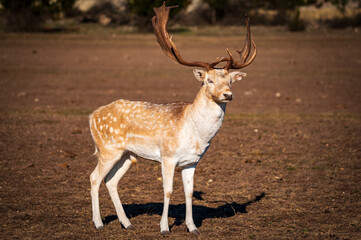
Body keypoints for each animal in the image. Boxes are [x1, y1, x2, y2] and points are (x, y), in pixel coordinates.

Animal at [88, 1, 255, 234]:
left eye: (230, 80)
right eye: (209, 80)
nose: (228, 95)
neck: (196, 133)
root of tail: (92, 115)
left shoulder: (192, 161)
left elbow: (188, 192)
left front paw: (192, 227)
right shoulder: (167, 156)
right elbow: (168, 191)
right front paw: (164, 227)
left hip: (127, 154)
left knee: (111, 181)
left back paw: (127, 223)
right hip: (107, 149)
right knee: (94, 178)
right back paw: (98, 223)